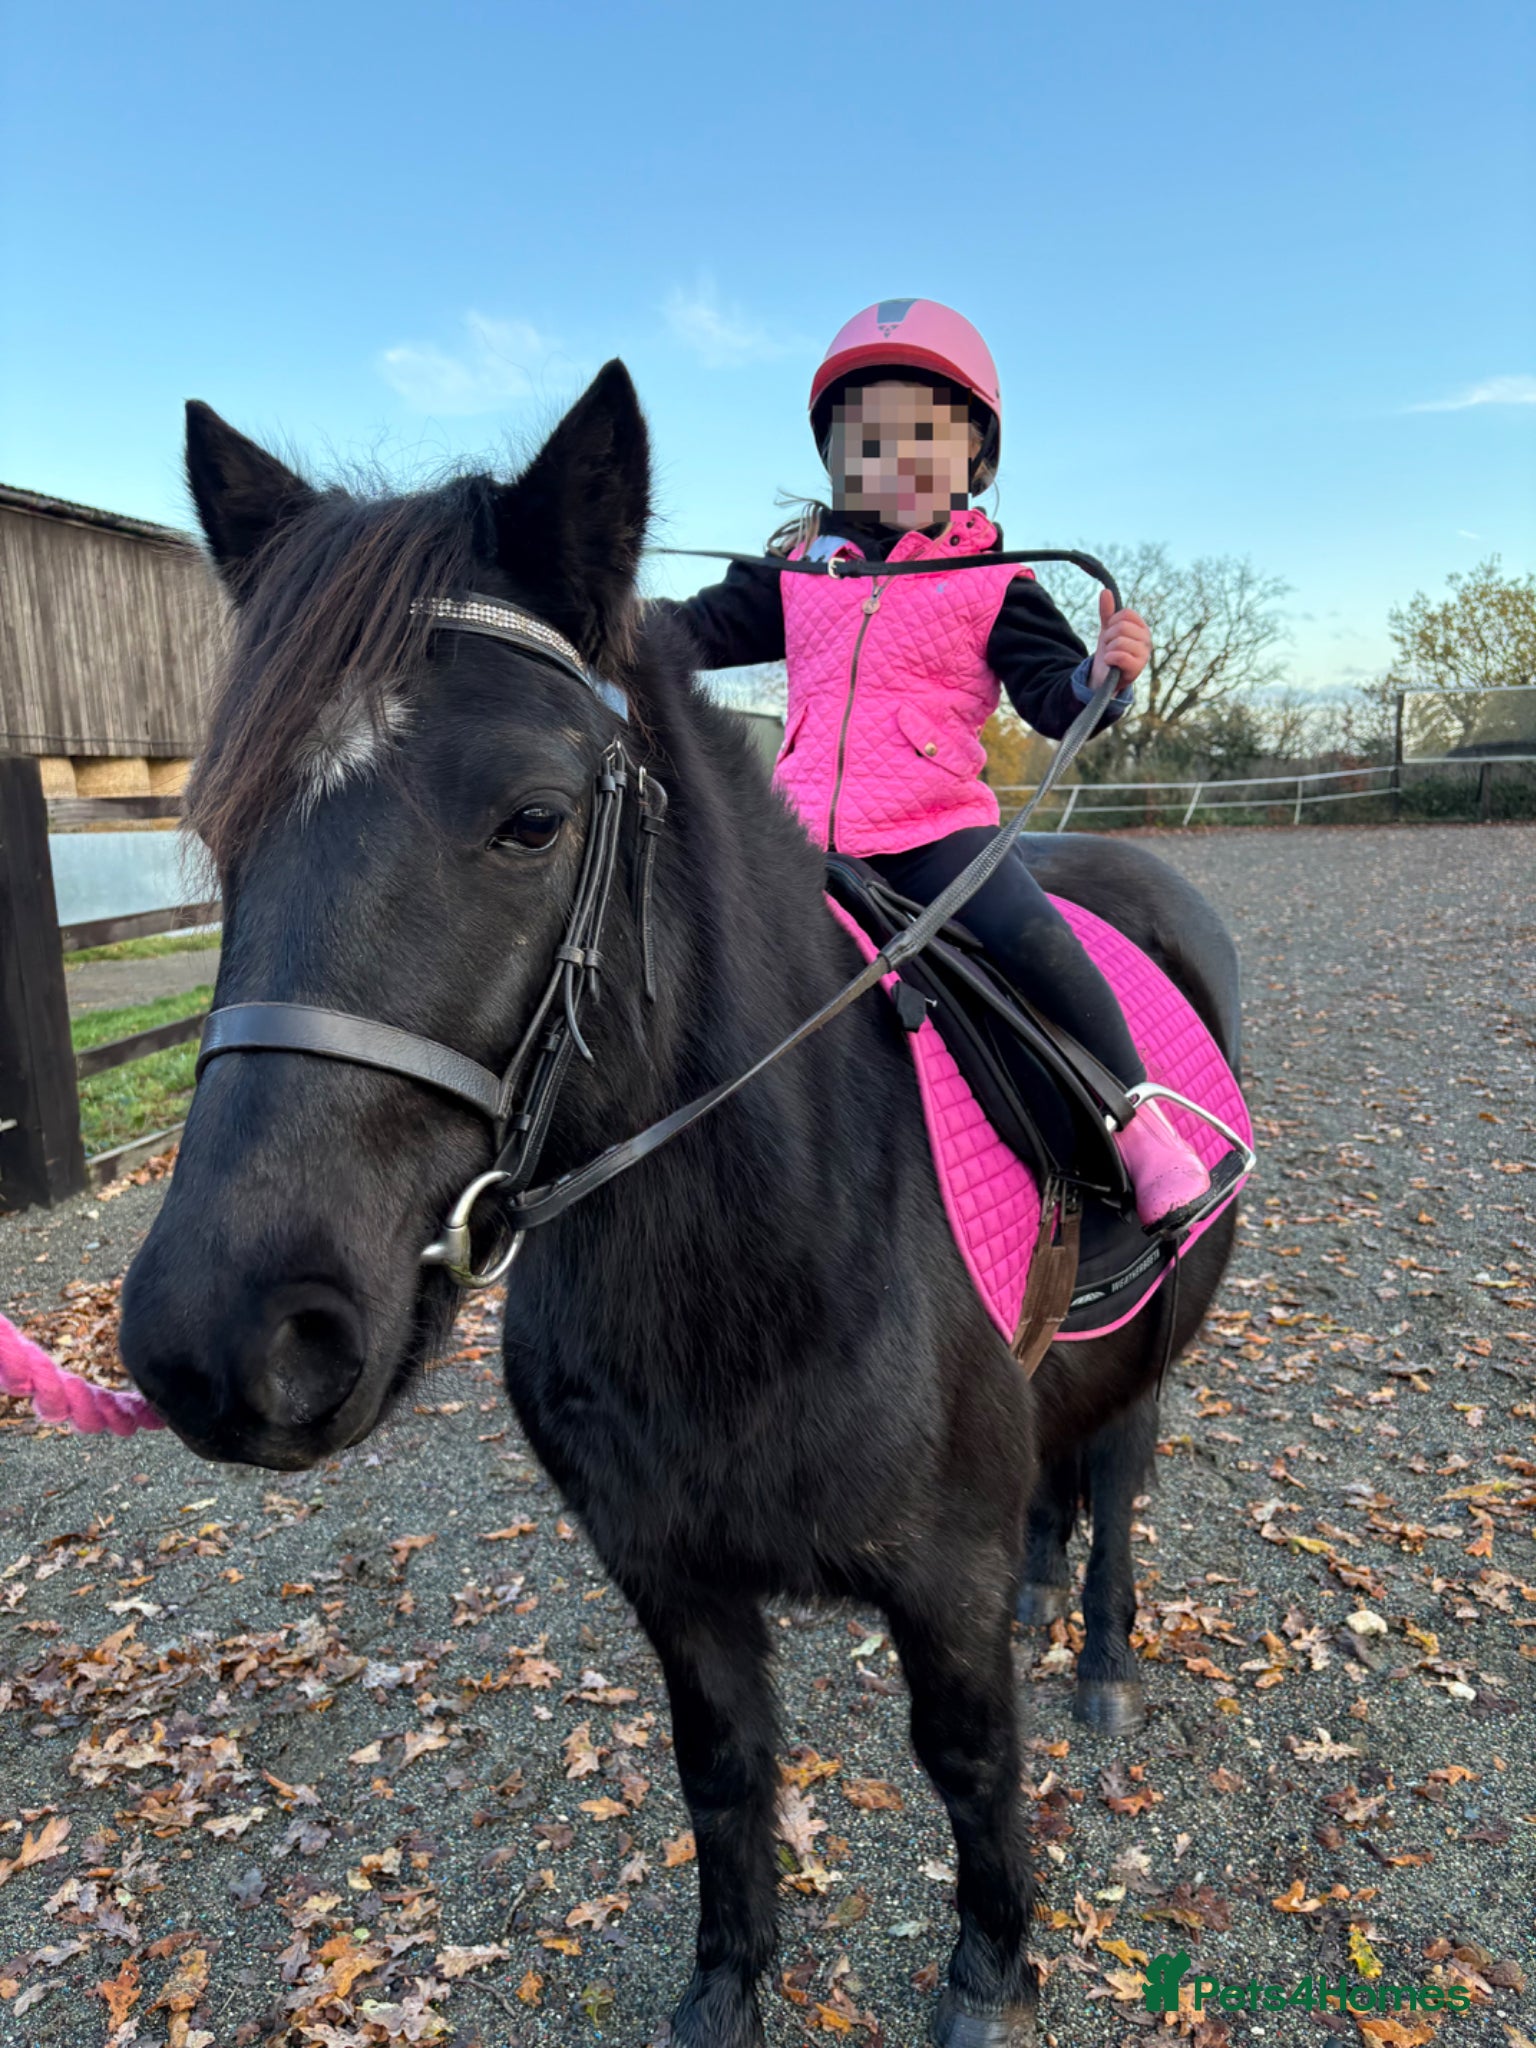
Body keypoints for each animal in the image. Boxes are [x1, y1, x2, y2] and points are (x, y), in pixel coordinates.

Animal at [119, 362, 1242, 2048]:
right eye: (221, 827)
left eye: (532, 819)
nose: (224, 1338)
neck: (761, 1262)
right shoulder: (669, 1575)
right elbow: (721, 1777)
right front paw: (730, 1987)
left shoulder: (941, 1581)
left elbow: (972, 1761)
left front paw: (993, 1969)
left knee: (1117, 1467)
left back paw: (1099, 1644)